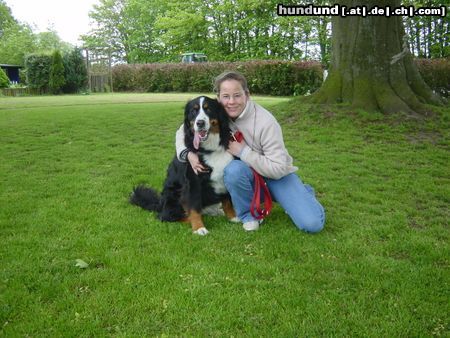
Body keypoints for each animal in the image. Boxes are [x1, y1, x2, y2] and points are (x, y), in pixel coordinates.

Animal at [129, 95, 237, 235]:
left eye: (208, 109)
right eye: (193, 111)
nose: (200, 123)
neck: (209, 148)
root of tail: (160, 204)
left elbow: (228, 200)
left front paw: (233, 217)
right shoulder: (193, 181)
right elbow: (194, 207)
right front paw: (199, 227)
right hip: (174, 195)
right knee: (166, 216)